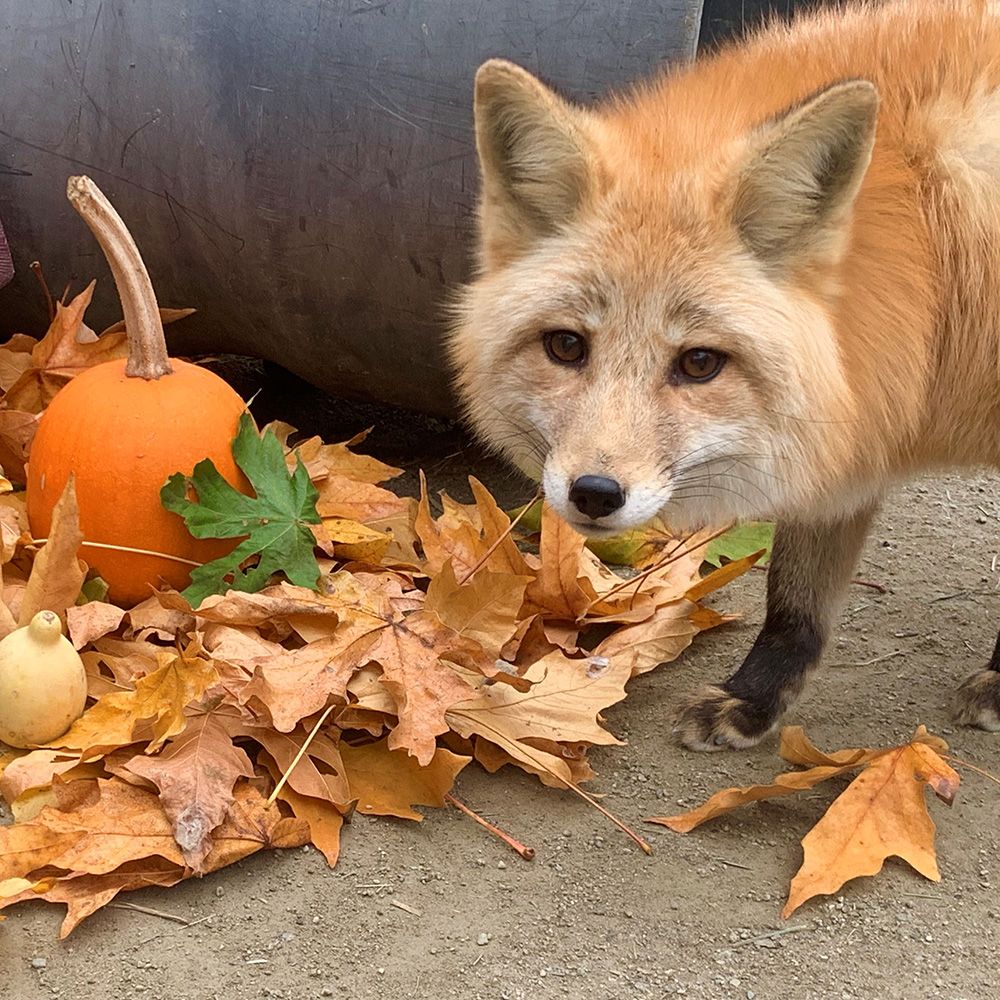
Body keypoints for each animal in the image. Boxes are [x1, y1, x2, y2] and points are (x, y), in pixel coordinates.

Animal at [450, 0, 1000, 752]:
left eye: (700, 363)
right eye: (565, 346)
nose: (594, 493)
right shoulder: (855, 421)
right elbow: (796, 602)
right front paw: (754, 700)